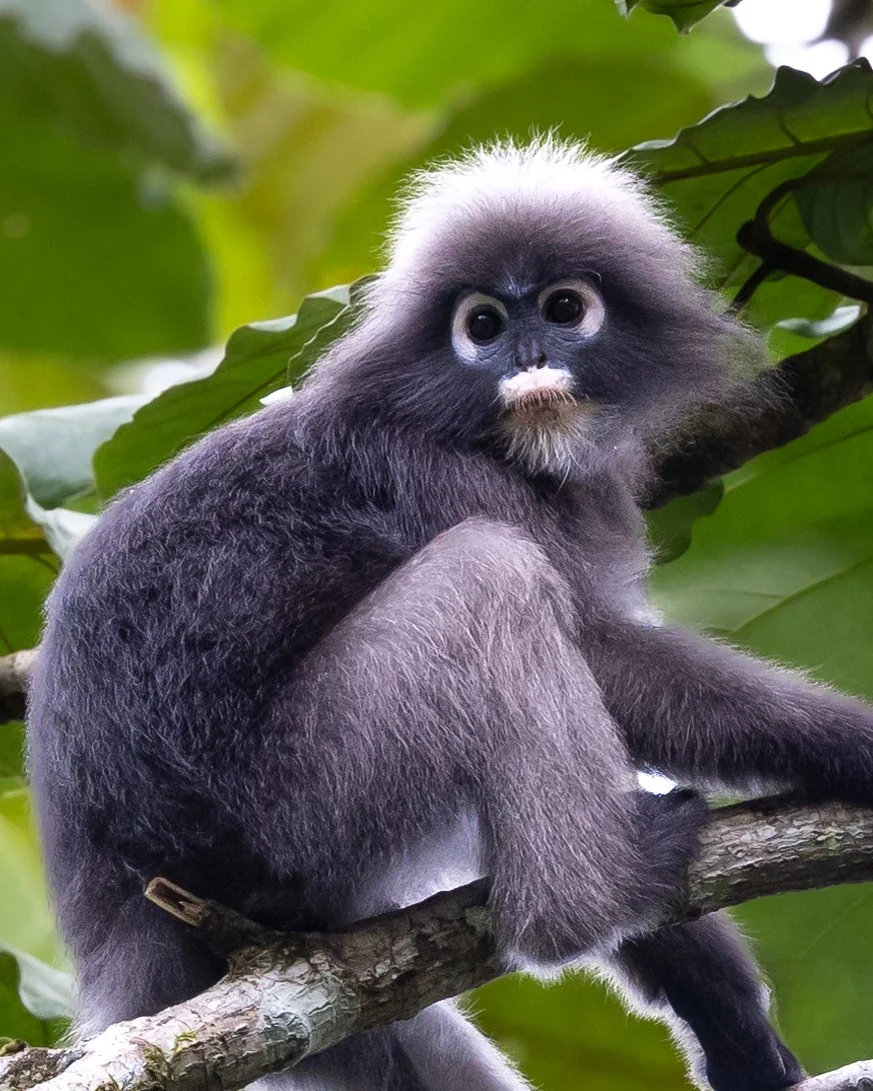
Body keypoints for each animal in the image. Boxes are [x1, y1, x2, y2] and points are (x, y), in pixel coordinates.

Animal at [26, 137, 873, 1091]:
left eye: (563, 308)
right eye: (483, 326)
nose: (526, 355)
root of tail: (124, 933)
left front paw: (714, 995)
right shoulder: (435, 477)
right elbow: (605, 657)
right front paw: (855, 745)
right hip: (289, 809)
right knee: (490, 576)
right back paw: (588, 899)